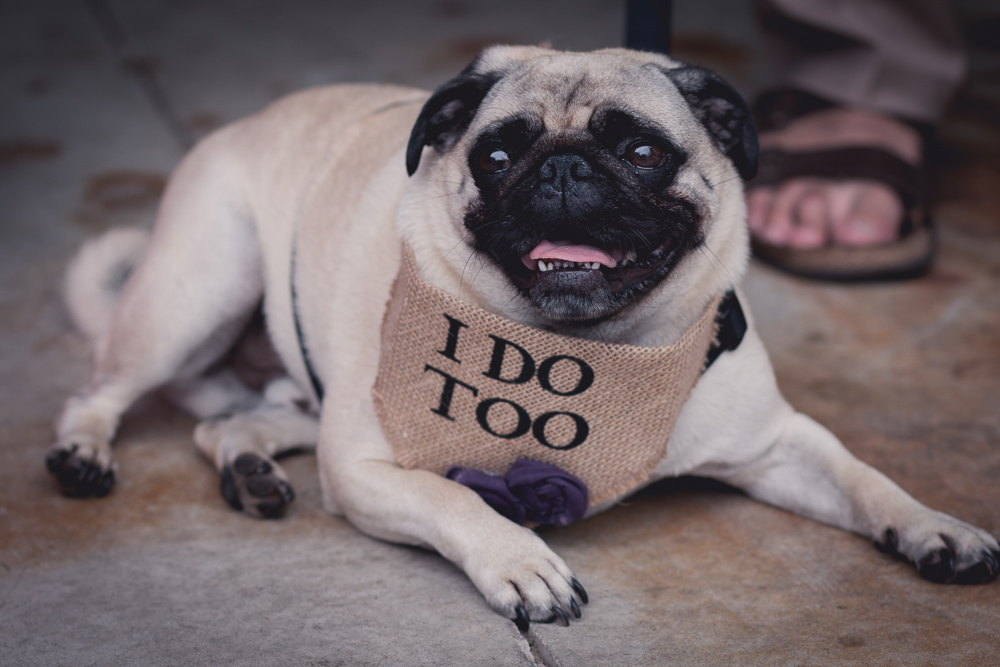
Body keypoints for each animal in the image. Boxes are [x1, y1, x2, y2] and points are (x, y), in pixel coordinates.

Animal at [48, 47, 1000, 632]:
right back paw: (83, 453)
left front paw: (935, 528)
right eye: (497, 156)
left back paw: (247, 463)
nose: (565, 166)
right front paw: (522, 558)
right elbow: (455, 498)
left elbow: (865, 478)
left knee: (230, 421)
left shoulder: (778, 444)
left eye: (642, 151)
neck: (592, 353)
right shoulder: (364, 469)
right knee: (100, 386)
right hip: (199, 287)